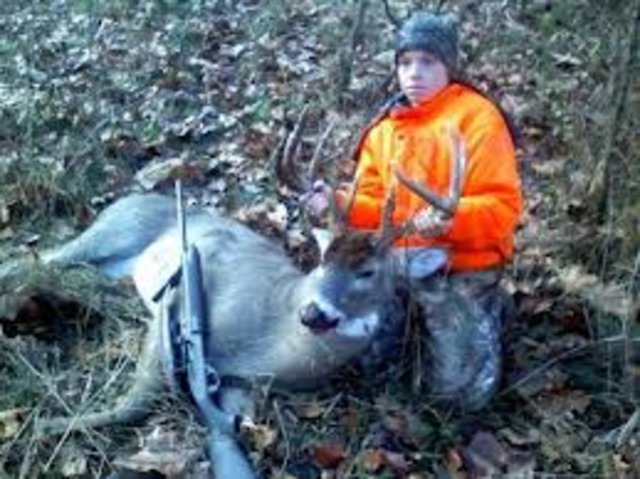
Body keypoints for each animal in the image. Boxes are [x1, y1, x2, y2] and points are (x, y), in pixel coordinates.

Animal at [11, 125, 466, 478]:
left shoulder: (238, 386)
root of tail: (128, 196)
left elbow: (225, 424)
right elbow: (133, 403)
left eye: (368, 272)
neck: (268, 338)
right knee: (38, 256)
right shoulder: (179, 299)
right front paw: (47, 425)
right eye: (322, 259)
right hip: (112, 231)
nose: (312, 312)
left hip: (114, 265)